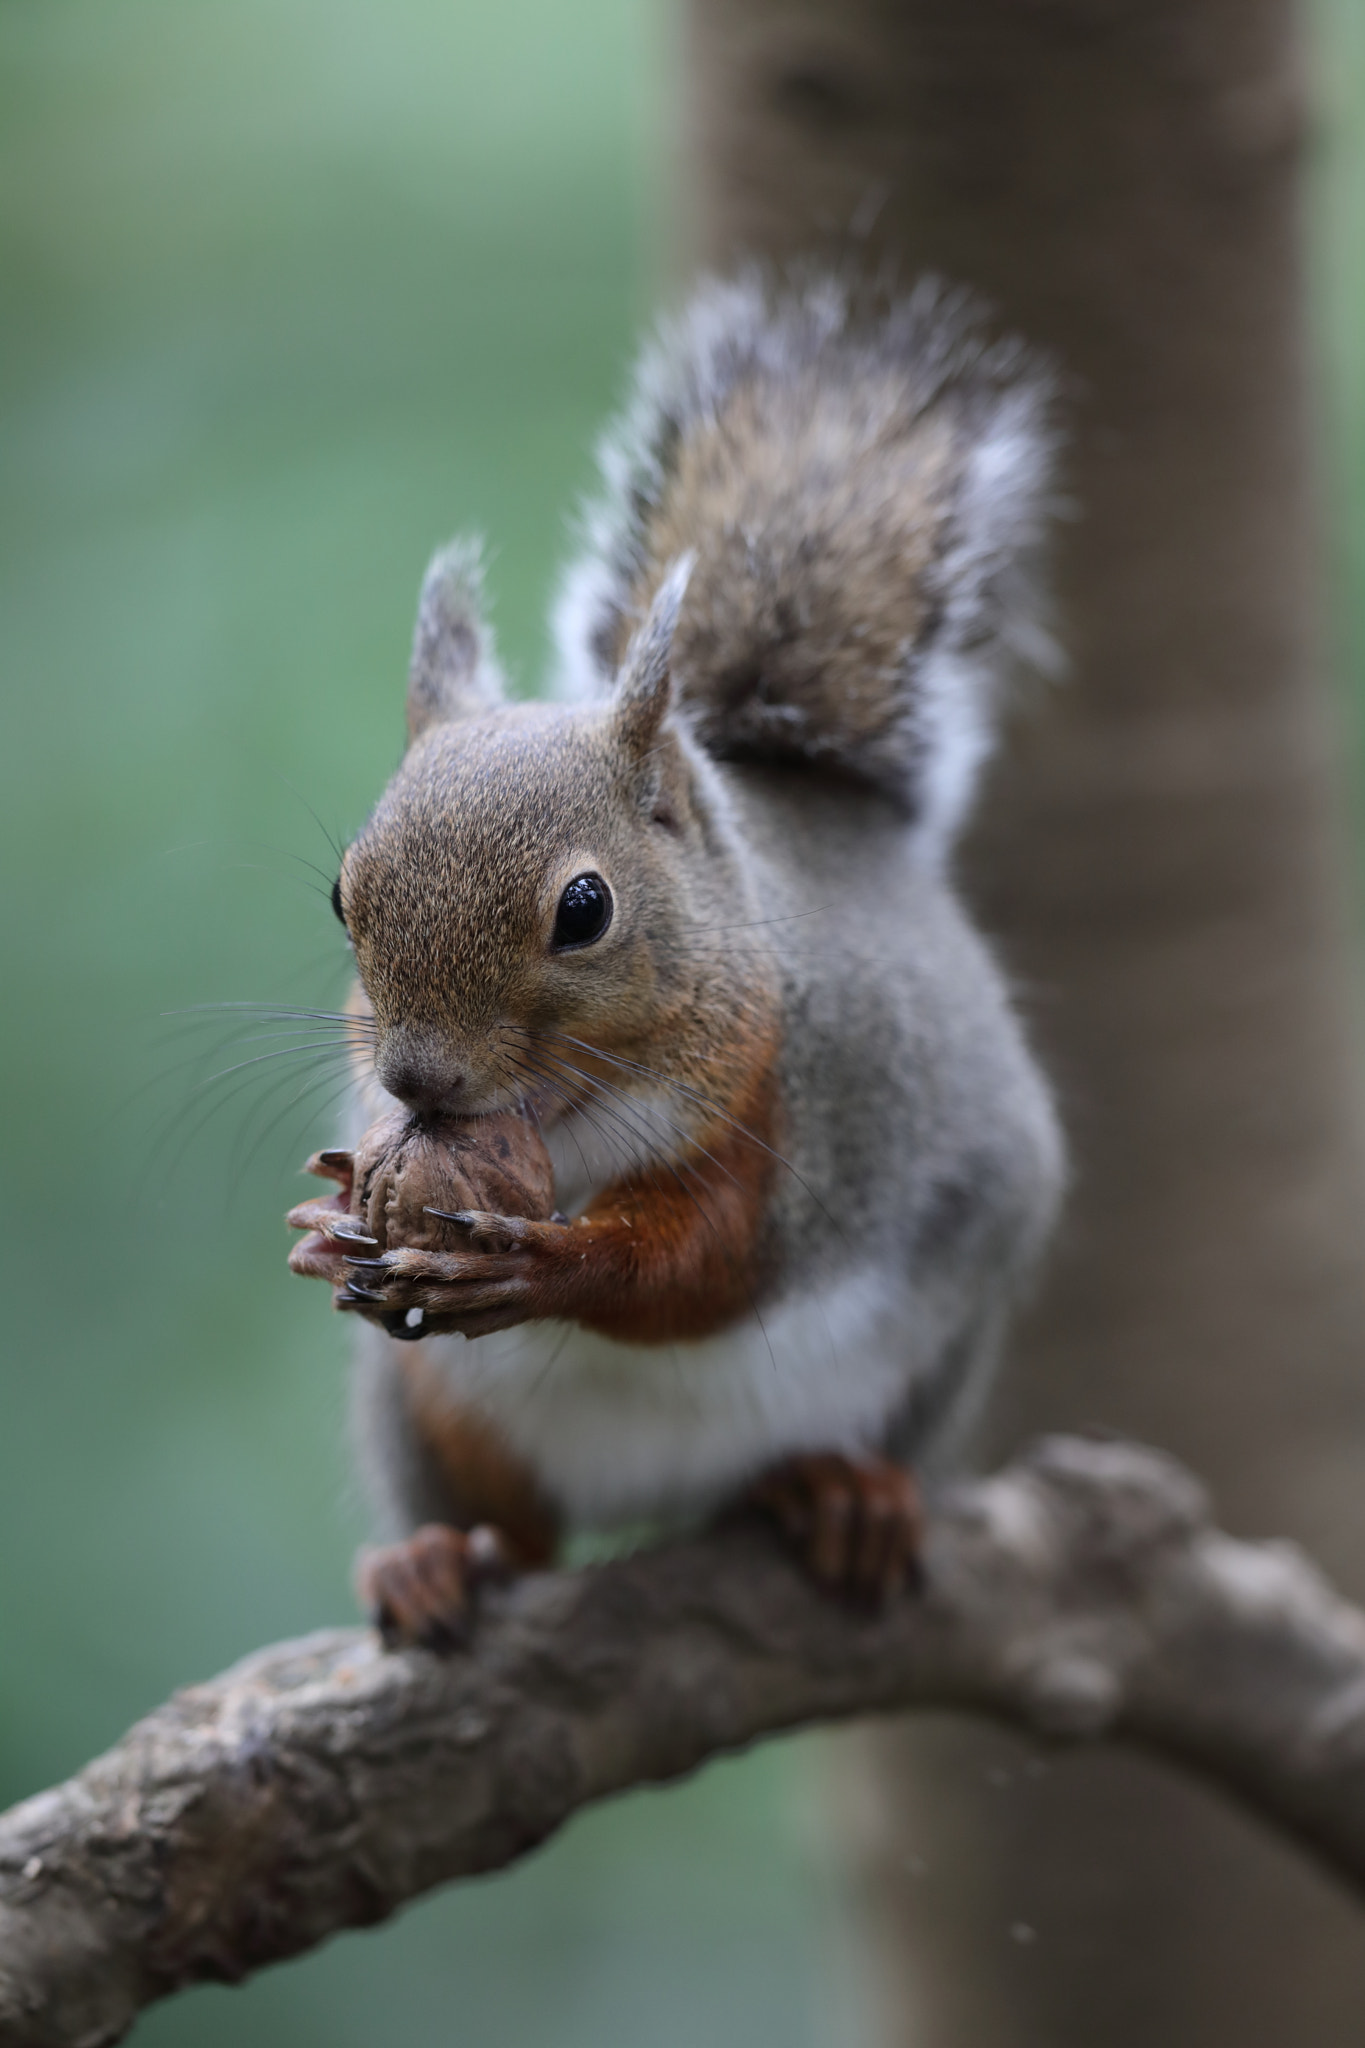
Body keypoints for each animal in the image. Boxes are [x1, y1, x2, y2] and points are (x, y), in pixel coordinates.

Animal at [296, 272, 1064, 1646]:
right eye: (344, 892)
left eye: (585, 907)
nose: (418, 1084)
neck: (569, 1122)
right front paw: (325, 1221)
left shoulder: (791, 1112)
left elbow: (701, 1267)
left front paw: (541, 1260)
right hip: (430, 1413)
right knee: (511, 1531)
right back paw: (437, 1559)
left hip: (932, 1343)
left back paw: (842, 1493)